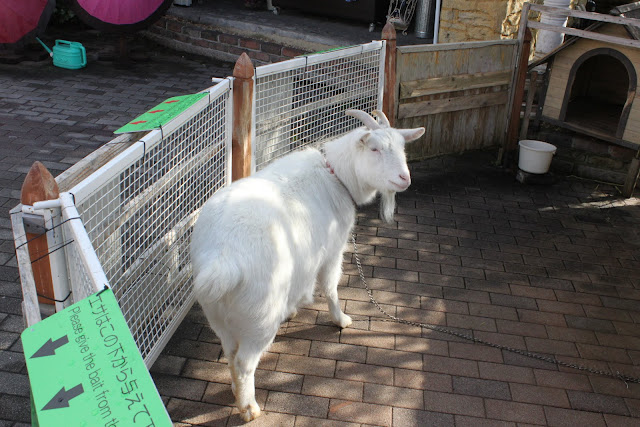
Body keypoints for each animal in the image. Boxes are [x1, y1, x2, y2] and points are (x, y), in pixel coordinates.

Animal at [190, 108, 424, 422]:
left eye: (402, 148)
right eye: (374, 149)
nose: (404, 178)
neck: (336, 176)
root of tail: (222, 257)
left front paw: (294, 308)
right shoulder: (332, 250)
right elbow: (330, 286)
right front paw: (341, 319)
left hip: (218, 315)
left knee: (229, 353)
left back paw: (236, 391)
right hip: (259, 317)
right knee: (244, 362)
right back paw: (249, 408)